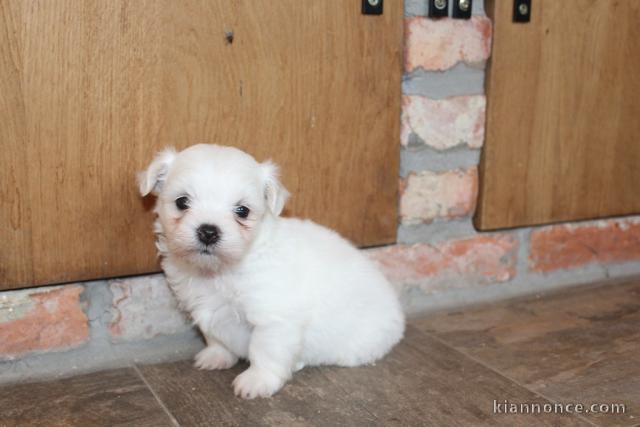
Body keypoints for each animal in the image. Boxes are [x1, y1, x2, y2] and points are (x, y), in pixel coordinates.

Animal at [139, 145, 404, 400]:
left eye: (242, 211)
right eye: (182, 202)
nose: (208, 231)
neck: (222, 271)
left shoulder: (274, 318)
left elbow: (264, 351)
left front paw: (257, 381)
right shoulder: (205, 307)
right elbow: (214, 335)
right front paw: (217, 356)